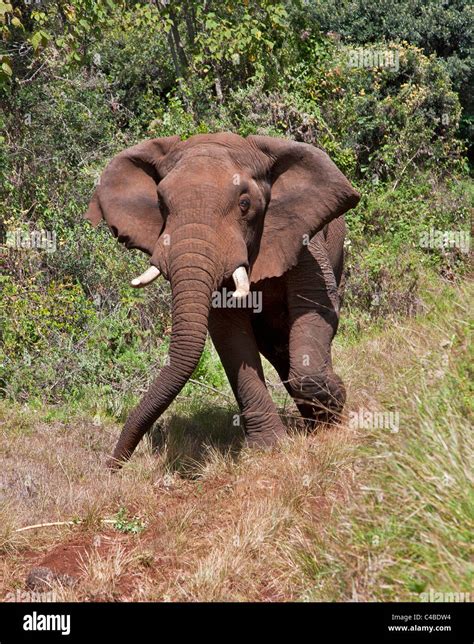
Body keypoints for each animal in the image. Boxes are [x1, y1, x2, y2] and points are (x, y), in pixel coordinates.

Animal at [85, 132, 360, 468]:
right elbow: (230, 333)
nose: (113, 465)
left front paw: (337, 403)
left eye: (245, 204)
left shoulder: (303, 238)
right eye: (162, 205)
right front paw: (269, 448)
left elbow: (315, 309)